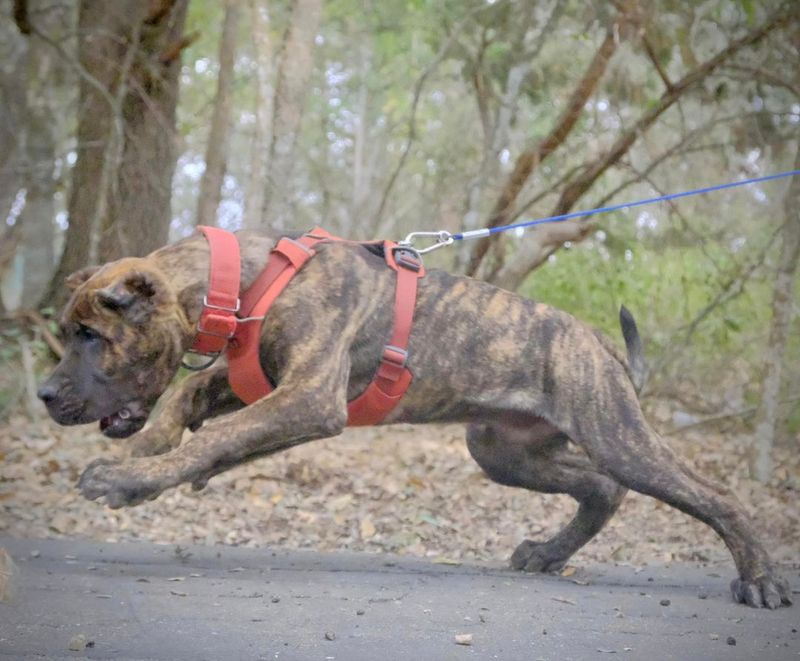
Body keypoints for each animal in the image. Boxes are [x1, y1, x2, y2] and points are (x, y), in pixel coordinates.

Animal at [37, 229, 788, 604]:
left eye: (90, 336)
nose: (44, 394)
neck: (245, 283)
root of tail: (597, 340)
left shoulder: (308, 395)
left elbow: (211, 436)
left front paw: (131, 480)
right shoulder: (260, 382)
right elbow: (185, 402)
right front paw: (143, 459)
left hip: (614, 431)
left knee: (711, 494)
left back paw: (760, 579)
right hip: (504, 449)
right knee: (602, 488)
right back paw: (548, 553)